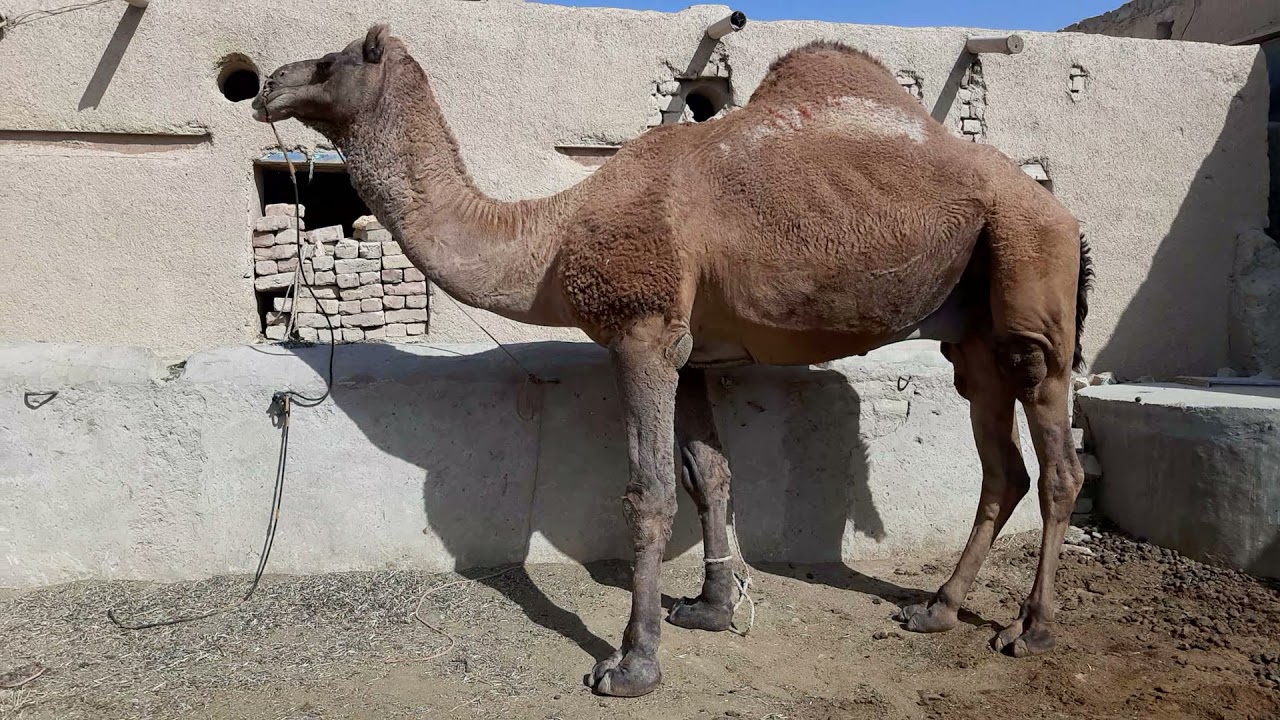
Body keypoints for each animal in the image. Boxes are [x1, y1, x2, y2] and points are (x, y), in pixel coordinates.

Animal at [253, 25, 1092, 698]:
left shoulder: (641, 329)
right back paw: (936, 609)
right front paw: (711, 609)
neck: (550, 237)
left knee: (1058, 458)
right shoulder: (688, 352)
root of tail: (1061, 210)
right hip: (974, 326)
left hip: (1030, 266)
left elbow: (648, 492)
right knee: (1001, 463)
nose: (265, 83)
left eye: (332, 60)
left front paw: (632, 663)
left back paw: (1032, 628)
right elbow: (708, 474)